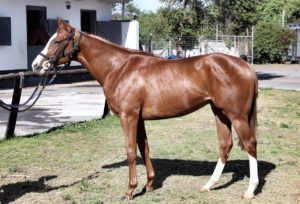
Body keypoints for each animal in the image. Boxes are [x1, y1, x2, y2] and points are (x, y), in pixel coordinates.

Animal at [32, 19, 258, 201]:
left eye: (57, 41)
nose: (36, 65)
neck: (119, 68)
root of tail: (246, 66)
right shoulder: (138, 119)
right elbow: (145, 148)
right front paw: (149, 184)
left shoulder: (128, 117)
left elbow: (131, 151)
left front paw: (129, 191)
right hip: (220, 113)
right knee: (225, 145)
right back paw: (209, 185)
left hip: (237, 117)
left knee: (250, 144)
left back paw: (249, 190)